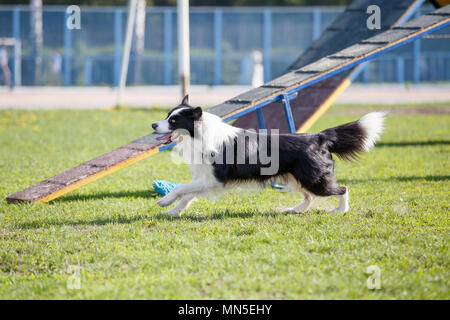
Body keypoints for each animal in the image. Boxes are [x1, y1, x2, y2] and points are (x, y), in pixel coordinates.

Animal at [153, 94, 384, 216]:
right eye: (167, 116)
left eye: (174, 120)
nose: (153, 125)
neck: (199, 134)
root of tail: (319, 136)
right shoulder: (204, 178)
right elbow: (187, 194)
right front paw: (173, 211)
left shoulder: (214, 179)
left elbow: (181, 189)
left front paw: (165, 201)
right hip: (296, 177)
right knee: (308, 197)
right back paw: (294, 210)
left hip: (314, 178)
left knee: (342, 189)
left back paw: (340, 210)